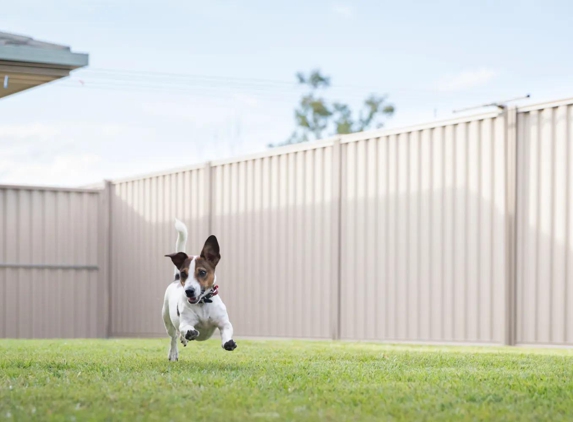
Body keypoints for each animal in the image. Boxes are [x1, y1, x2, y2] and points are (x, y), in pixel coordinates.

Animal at [161, 219, 235, 362]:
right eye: (183, 274)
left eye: (202, 272)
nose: (189, 291)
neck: (203, 303)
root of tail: (175, 281)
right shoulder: (185, 323)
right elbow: (185, 328)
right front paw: (190, 333)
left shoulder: (224, 322)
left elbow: (227, 329)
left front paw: (228, 342)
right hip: (167, 320)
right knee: (173, 337)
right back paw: (173, 353)